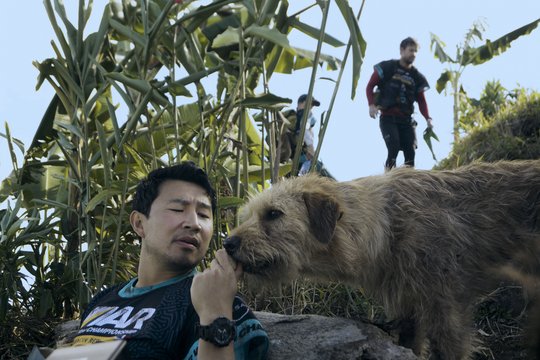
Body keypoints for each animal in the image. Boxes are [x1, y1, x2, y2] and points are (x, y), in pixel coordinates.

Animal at [224, 161, 540, 360]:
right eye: (247, 216)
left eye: (274, 214)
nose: (227, 243)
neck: (387, 224)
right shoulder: (409, 309)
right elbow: (411, 343)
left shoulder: (446, 310)